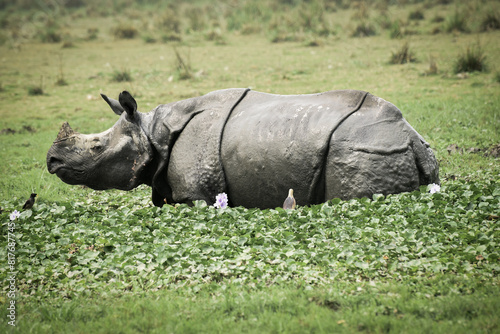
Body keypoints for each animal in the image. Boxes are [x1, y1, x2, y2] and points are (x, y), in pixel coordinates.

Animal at [46, 88, 438, 209]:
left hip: (363, 147)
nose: (51, 160)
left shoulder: (196, 195)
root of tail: (409, 136)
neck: (152, 131)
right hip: (387, 144)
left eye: (96, 146)